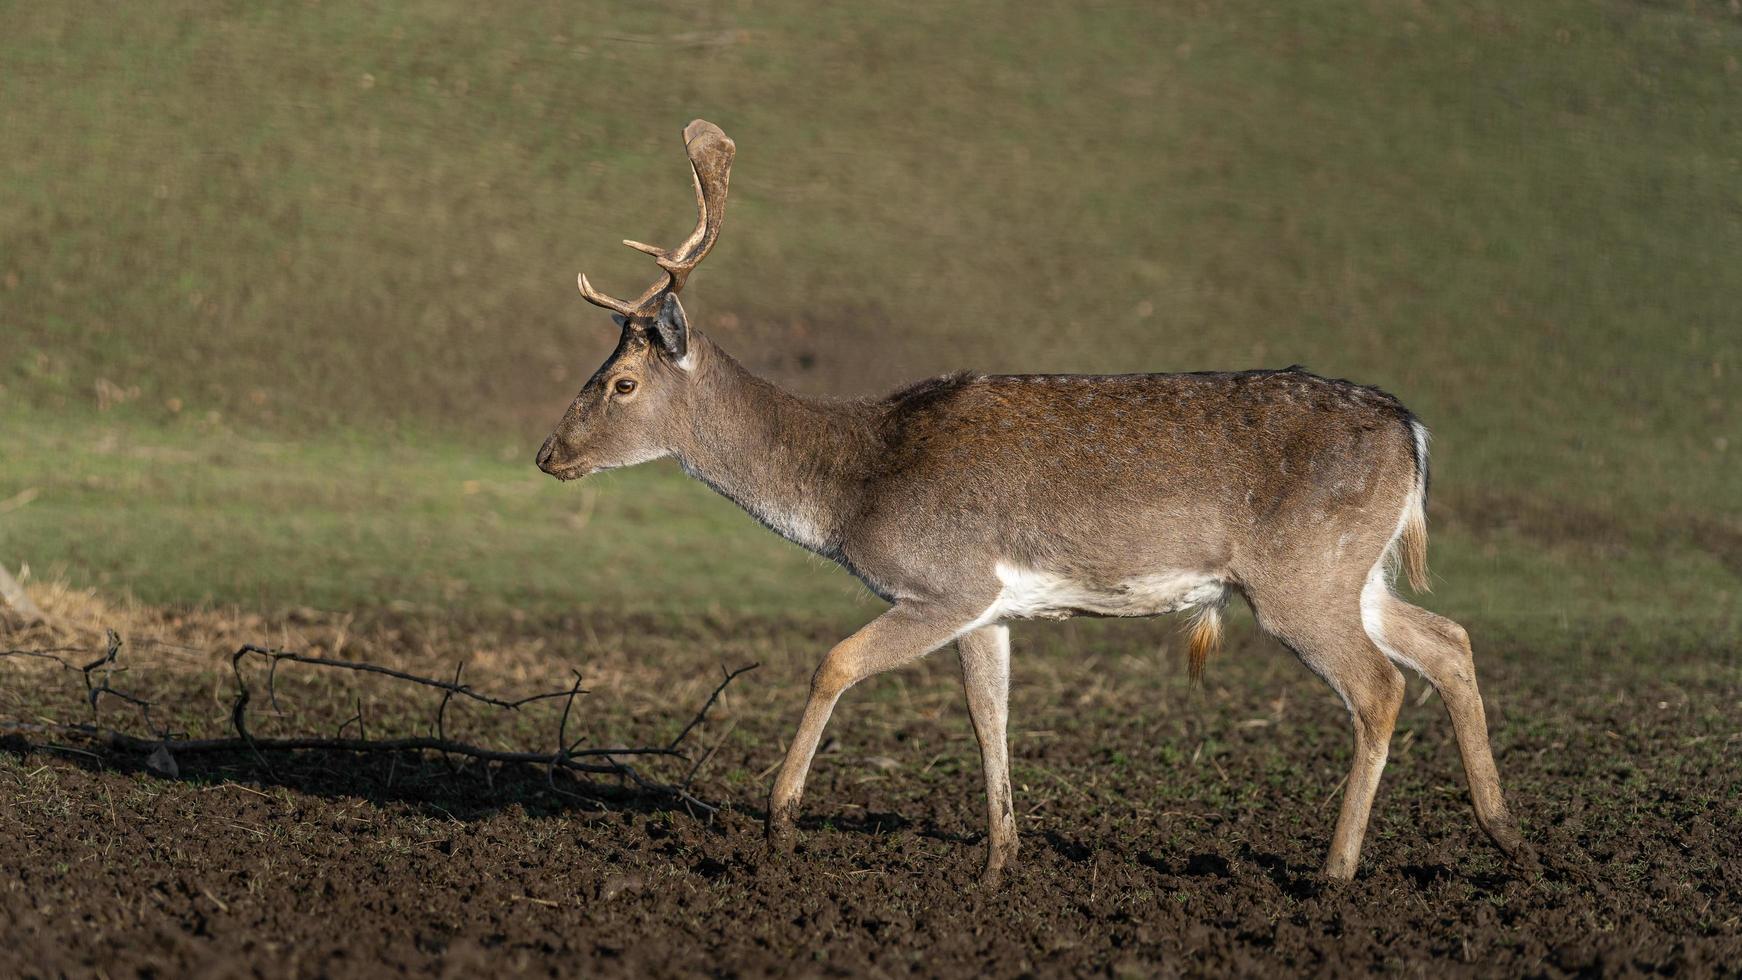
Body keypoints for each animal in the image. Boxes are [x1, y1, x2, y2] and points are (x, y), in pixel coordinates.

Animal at [536, 119, 1532, 884]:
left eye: (620, 383)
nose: (548, 454)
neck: (853, 486)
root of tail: (1413, 432)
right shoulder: (990, 604)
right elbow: (991, 717)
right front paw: (1000, 860)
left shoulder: (944, 580)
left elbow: (834, 663)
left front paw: (779, 822)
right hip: (1352, 572)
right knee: (1449, 641)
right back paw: (1507, 837)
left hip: (1300, 575)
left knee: (1380, 686)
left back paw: (1336, 870)